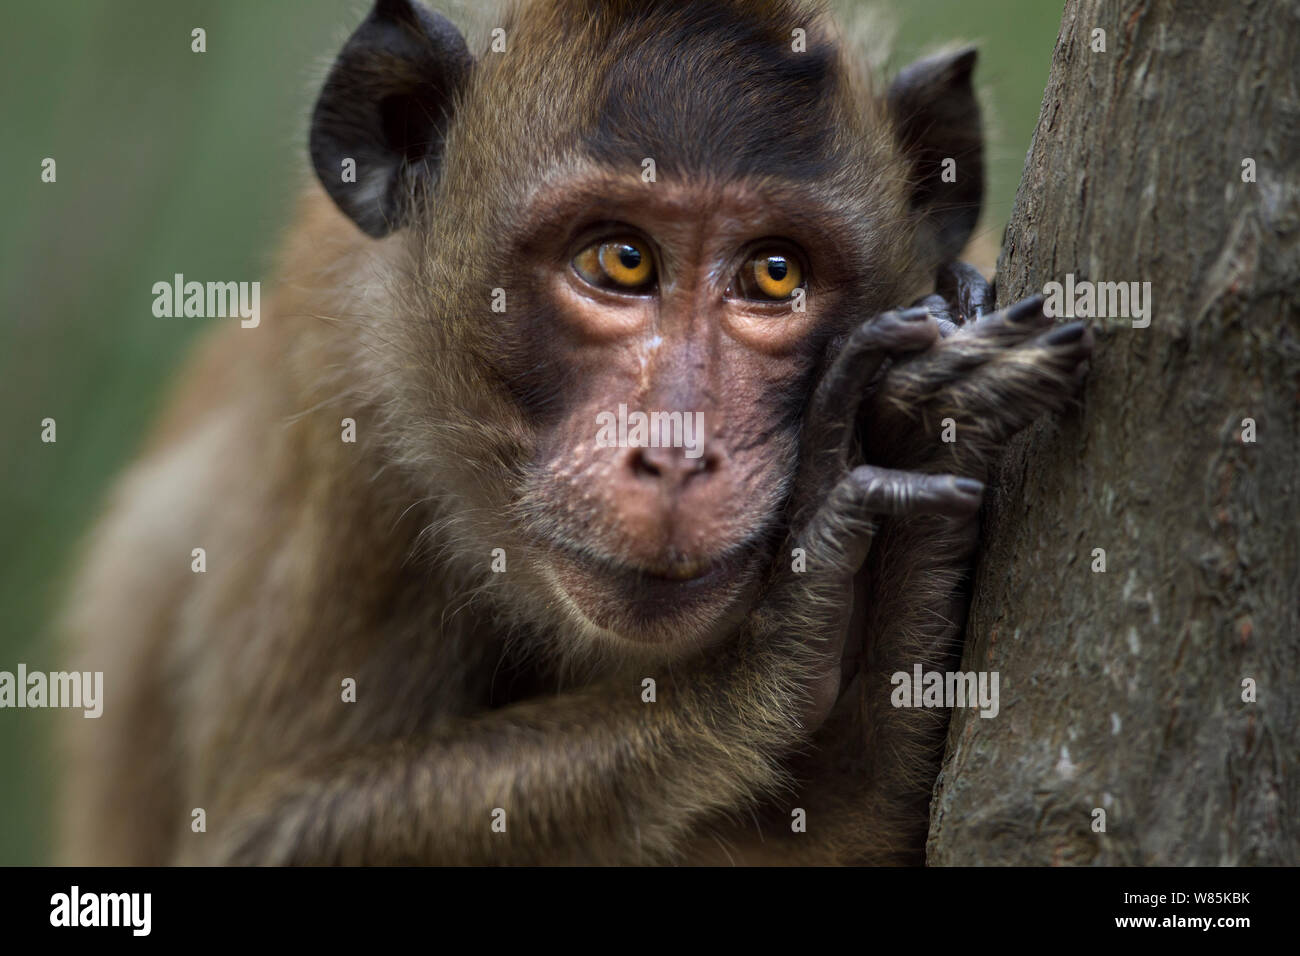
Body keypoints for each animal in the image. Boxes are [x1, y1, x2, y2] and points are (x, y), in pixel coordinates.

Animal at [55, 0, 1086, 868]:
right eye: (619, 260)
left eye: (774, 274)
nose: (676, 453)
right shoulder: (347, 440)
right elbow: (266, 839)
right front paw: (830, 642)